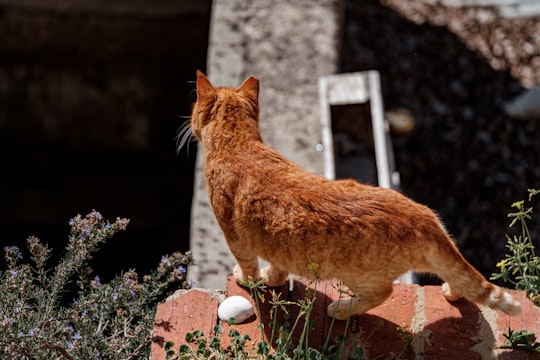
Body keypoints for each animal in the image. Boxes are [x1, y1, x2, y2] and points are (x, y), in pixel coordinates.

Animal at [184, 69, 520, 318]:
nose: (188, 122)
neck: (237, 145)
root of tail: (423, 217)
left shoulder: (234, 237)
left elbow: (248, 266)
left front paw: (248, 279)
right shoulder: (275, 245)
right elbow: (277, 267)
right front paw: (272, 279)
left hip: (360, 277)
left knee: (384, 293)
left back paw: (342, 310)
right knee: (456, 278)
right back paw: (451, 292)